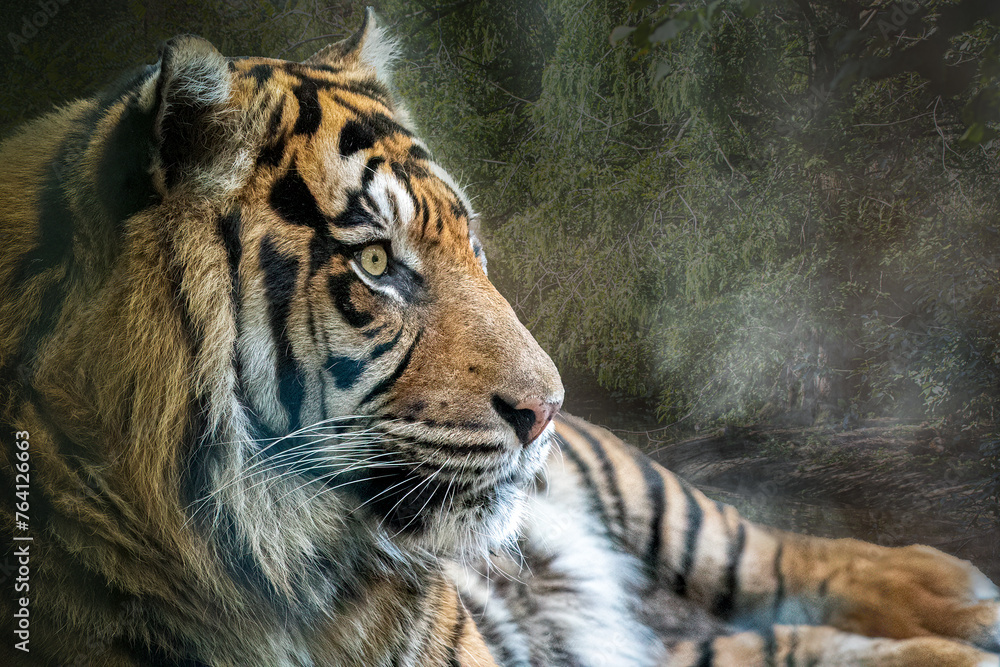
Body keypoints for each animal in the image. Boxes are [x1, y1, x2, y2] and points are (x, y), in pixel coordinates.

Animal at [0, 9, 998, 666]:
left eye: (469, 245)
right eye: (376, 263)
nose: (545, 408)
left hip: (631, 479)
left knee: (754, 548)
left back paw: (948, 594)